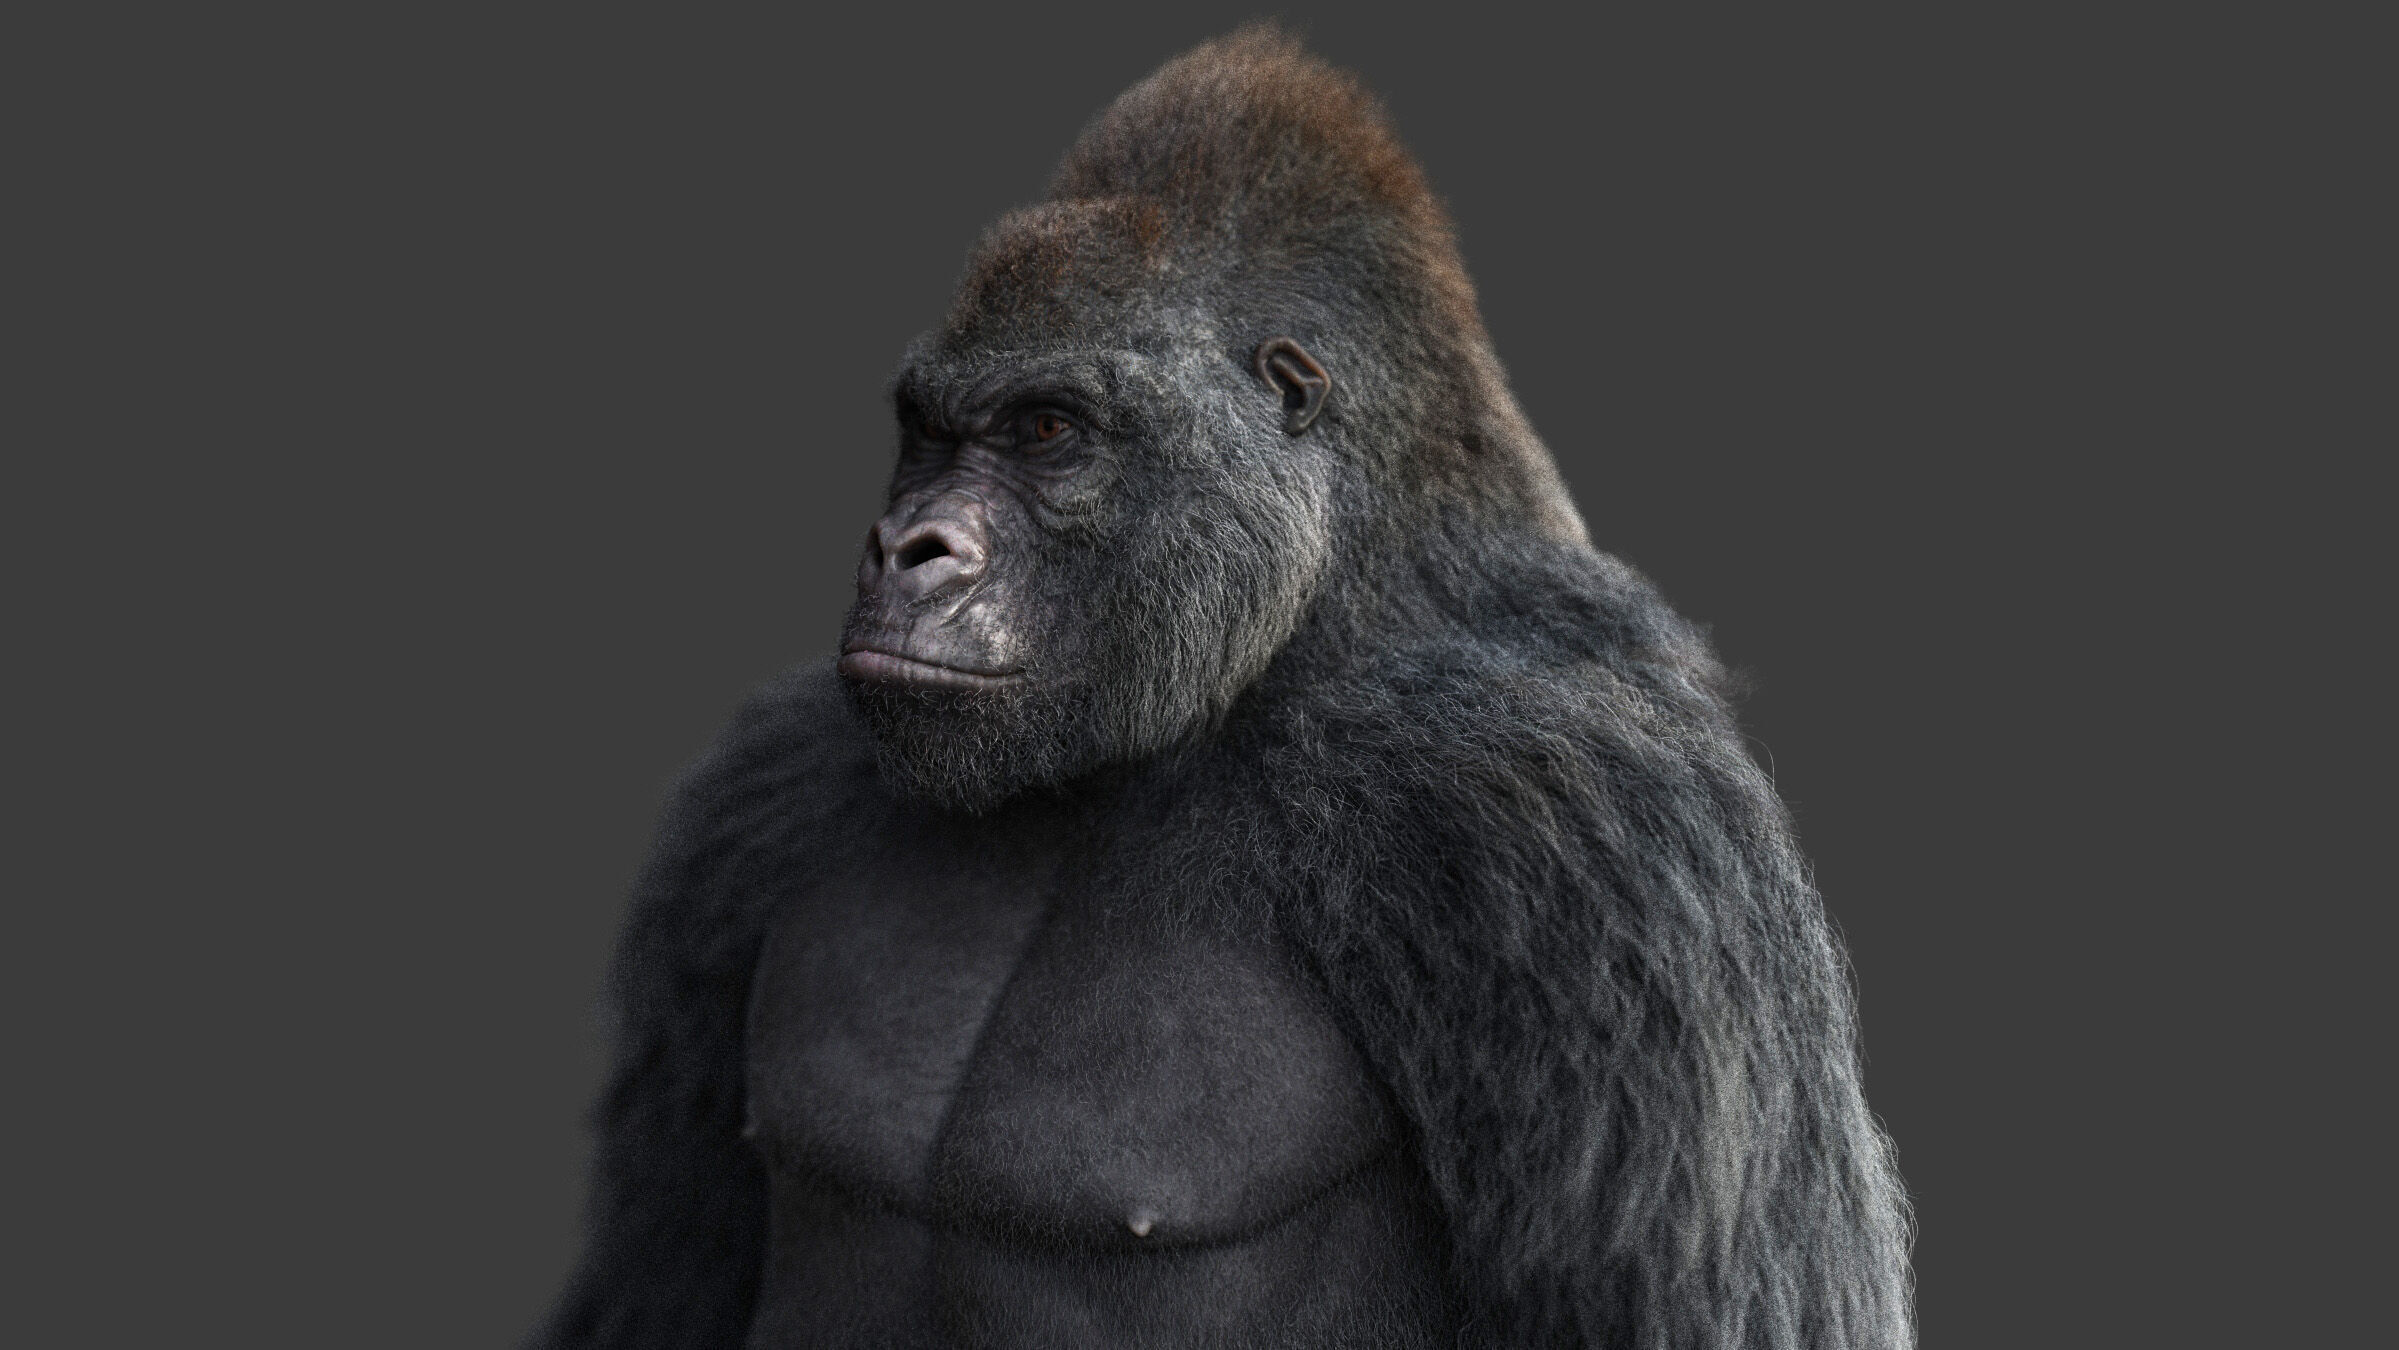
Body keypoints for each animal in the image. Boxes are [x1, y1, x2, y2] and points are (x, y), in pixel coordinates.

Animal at [533, 25, 1912, 1349]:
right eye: (925, 431)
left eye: (1045, 430)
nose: (906, 547)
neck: (1275, 654)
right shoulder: (758, 803)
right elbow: (670, 1265)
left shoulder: (1580, 819)